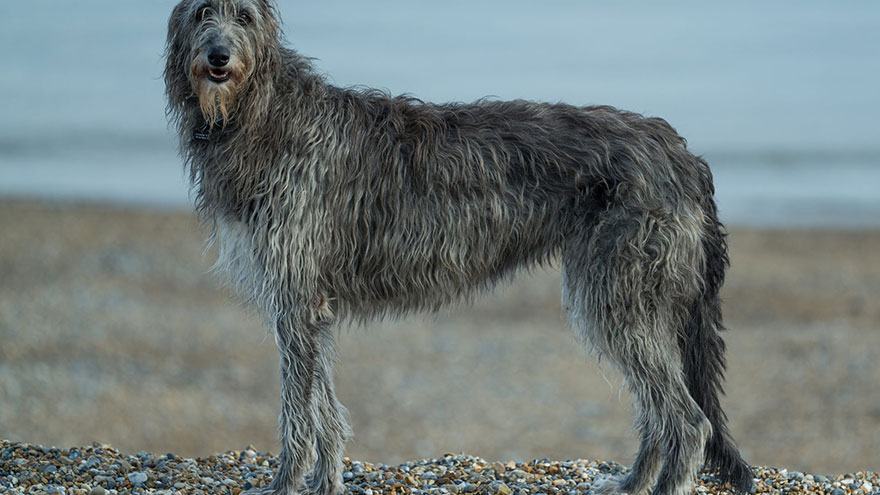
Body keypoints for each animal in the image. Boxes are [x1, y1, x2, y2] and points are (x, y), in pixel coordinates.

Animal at [163, 0, 748, 495]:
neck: (263, 114)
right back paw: (631, 483)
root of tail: (683, 155)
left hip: (618, 290)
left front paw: (287, 483)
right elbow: (323, 407)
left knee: (687, 420)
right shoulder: (308, 304)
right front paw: (326, 481)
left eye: (243, 15)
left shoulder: (295, 295)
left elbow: (298, 412)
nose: (219, 58)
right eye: (202, 12)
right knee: (660, 412)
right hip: (628, 296)